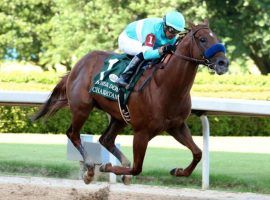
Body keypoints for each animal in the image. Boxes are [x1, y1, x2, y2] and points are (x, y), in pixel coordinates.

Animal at [32, 21, 229, 184]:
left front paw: (178, 171)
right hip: (82, 108)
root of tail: (78, 64)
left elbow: (198, 153)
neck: (164, 86)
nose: (223, 63)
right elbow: (136, 168)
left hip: (119, 116)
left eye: (217, 38)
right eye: (203, 39)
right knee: (73, 134)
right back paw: (89, 168)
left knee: (105, 139)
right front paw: (107, 167)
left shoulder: (177, 126)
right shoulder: (142, 132)